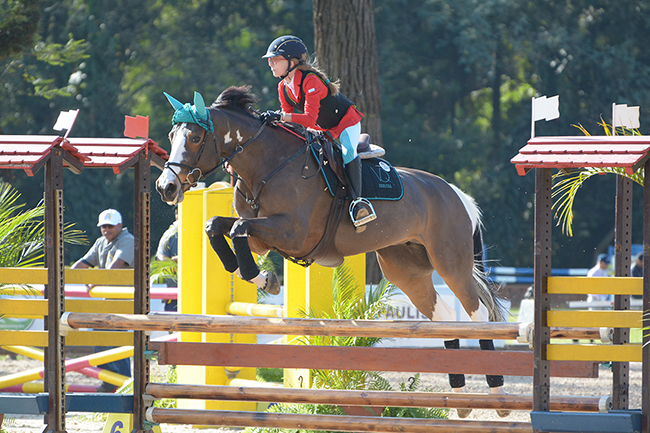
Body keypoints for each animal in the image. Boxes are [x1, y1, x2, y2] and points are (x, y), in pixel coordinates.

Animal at [155, 86, 510, 418]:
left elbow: (238, 228)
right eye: (172, 136)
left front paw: (264, 278)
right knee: (446, 318)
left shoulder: (293, 233)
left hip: (451, 262)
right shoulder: (263, 239)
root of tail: (457, 194)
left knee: (478, 316)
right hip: (406, 270)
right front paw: (258, 276)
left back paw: (497, 396)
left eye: (196, 137)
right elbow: (218, 226)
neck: (268, 165)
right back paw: (460, 401)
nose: (165, 187)